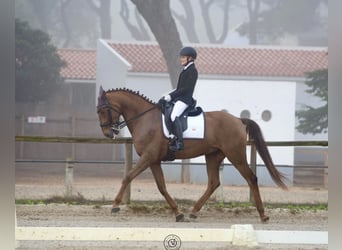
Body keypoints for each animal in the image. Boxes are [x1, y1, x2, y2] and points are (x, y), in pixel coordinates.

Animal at [97, 86, 288, 223]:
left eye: (102, 110)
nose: (108, 133)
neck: (144, 119)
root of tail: (238, 119)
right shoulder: (154, 160)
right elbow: (162, 187)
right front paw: (178, 213)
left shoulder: (148, 157)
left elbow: (128, 177)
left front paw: (115, 205)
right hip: (213, 155)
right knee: (213, 183)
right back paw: (194, 212)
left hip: (236, 154)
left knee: (251, 178)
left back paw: (263, 215)